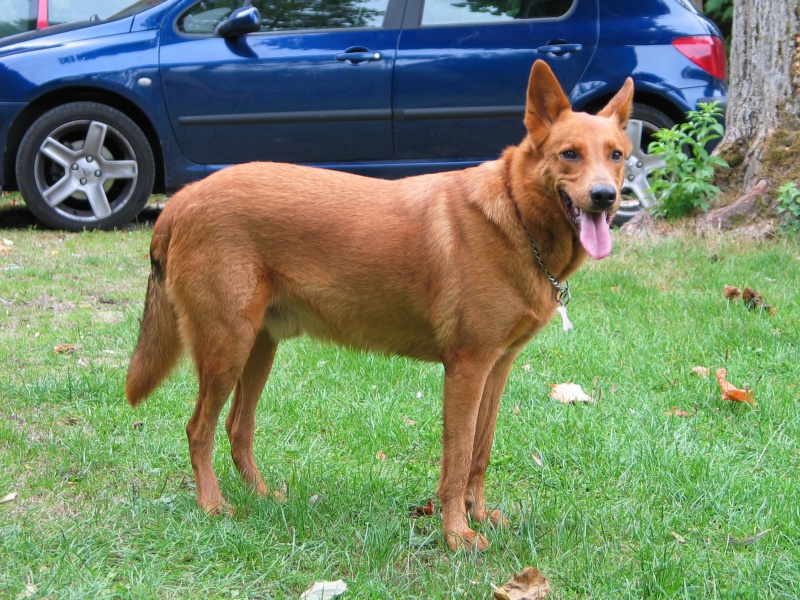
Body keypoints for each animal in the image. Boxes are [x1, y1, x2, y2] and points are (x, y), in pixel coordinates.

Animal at [126, 59, 632, 548]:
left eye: (617, 155)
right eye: (569, 154)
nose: (606, 197)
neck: (515, 214)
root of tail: (180, 202)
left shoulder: (497, 366)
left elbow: (480, 453)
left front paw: (479, 515)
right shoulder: (467, 369)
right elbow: (457, 458)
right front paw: (456, 535)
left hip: (257, 349)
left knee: (237, 428)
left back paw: (263, 497)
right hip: (225, 349)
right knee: (199, 429)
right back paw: (212, 505)